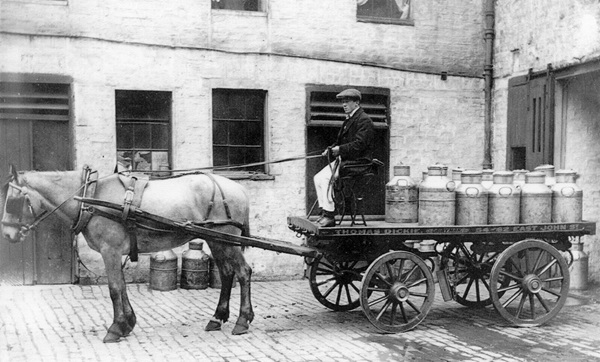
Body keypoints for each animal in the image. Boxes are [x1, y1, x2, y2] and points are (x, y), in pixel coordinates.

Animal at [0, 165, 253, 344]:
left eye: (12, 200)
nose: (7, 234)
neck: (91, 199)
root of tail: (238, 188)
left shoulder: (109, 251)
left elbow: (114, 289)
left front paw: (115, 328)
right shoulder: (114, 252)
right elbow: (121, 287)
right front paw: (128, 323)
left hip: (226, 239)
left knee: (243, 272)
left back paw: (242, 320)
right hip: (218, 241)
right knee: (227, 273)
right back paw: (217, 318)